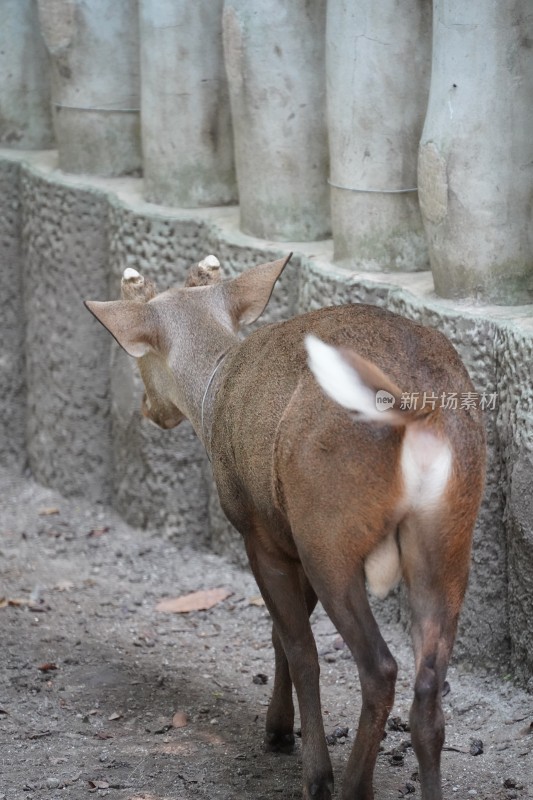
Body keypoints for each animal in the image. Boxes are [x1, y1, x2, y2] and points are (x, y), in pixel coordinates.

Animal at [84, 255, 486, 800]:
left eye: (141, 356)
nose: (149, 408)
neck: (216, 389)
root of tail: (417, 416)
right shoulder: (288, 529)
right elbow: (282, 633)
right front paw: (278, 729)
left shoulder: (260, 529)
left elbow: (296, 645)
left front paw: (296, 755)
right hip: (447, 536)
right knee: (428, 689)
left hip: (330, 529)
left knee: (378, 667)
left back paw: (350, 785)